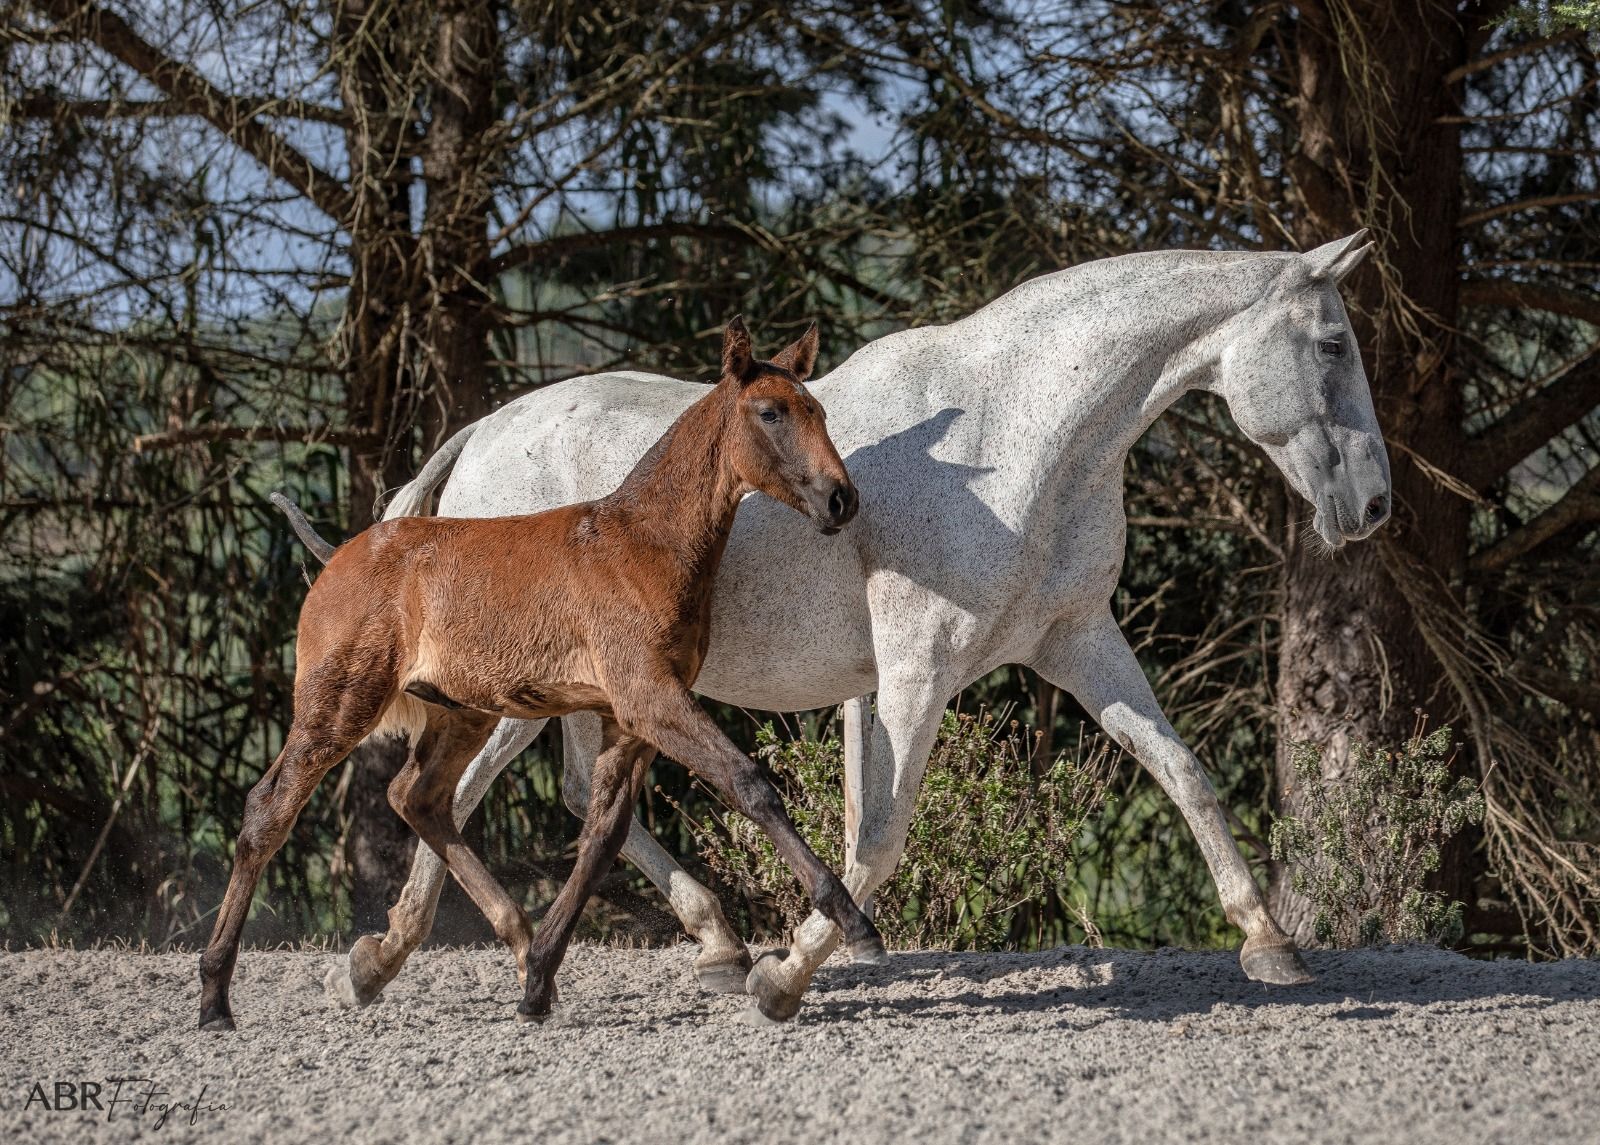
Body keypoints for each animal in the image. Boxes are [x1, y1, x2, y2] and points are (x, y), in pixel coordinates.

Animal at [198, 317, 884, 1030]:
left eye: (819, 410)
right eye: (771, 412)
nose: (841, 498)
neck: (643, 542)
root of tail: (339, 558)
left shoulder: (628, 719)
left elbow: (602, 835)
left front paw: (538, 980)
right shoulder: (652, 699)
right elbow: (749, 786)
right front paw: (856, 924)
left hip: (464, 714)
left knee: (419, 798)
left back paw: (515, 941)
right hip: (341, 701)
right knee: (269, 808)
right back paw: (216, 996)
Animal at [323, 232, 1390, 1023]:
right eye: (1333, 345)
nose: (1374, 506)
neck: (1023, 433)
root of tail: (480, 438)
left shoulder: (1079, 643)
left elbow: (1183, 772)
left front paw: (1269, 942)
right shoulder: (918, 672)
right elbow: (878, 837)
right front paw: (790, 976)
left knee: (571, 792)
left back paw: (701, 941)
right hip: (516, 691)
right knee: (456, 791)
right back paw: (397, 955)